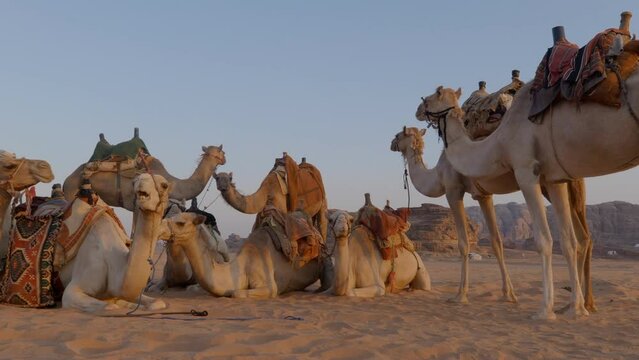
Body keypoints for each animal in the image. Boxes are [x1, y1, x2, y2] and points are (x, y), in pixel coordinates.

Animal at [57, 173, 170, 310]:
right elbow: (110, 307)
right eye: (135, 181)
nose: (142, 185)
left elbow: (158, 303)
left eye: (164, 185)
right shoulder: (76, 286)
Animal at [392, 126, 596, 310]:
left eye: (398, 134)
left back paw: (575, 303)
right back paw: (582, 302)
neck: (438, 174)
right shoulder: (483, 195)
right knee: (584, 237)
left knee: (578, 236)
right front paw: (509, 294)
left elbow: (463, 243)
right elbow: (496, 241)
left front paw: (460, 295)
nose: (391, 144)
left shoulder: (453, 189)